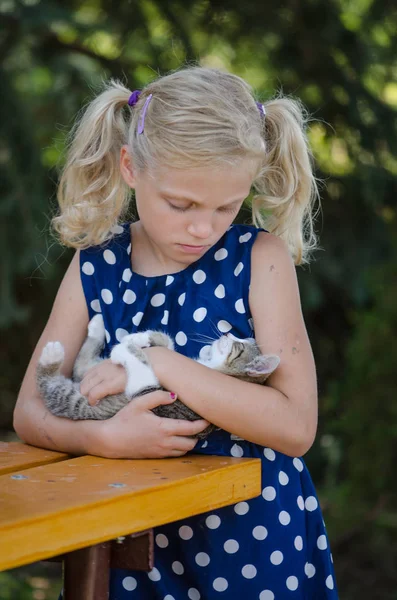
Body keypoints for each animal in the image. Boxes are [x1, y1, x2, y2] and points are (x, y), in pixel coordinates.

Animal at [37, 314, 278, 440]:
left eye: (238, 347)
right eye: (241, 338)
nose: (227, 333)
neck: (209, 368)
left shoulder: (150, 394)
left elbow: (142, 365)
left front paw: (126, 348)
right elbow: (168, 345)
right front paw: (142, 337)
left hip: (72, 401)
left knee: (50, 385)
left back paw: (51, 356)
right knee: (81, 367)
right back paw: (97, 325)